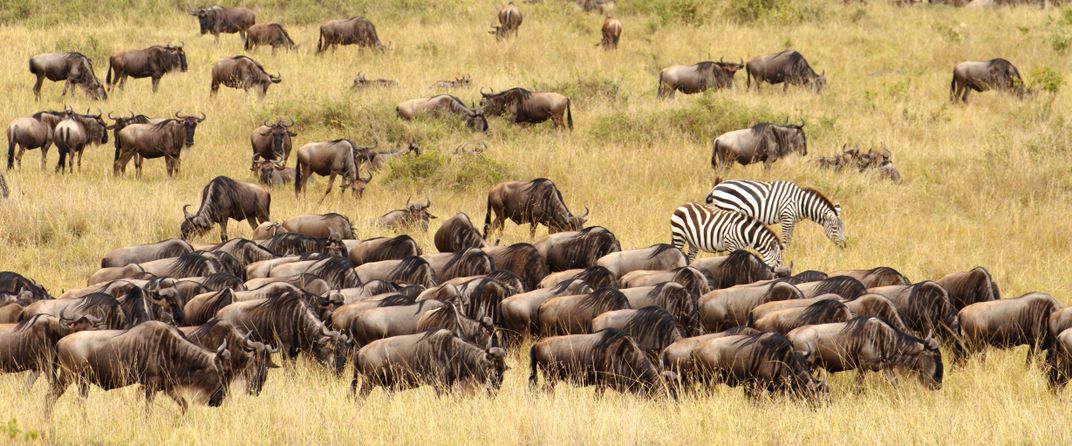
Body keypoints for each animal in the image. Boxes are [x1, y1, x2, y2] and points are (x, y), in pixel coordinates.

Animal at [704, 179, 845, 248]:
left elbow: (789, 238)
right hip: (727, 207)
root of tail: (716, 188)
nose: (844, 246)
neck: (800, 203)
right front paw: (784, 251)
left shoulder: (791, 220)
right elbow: (785, 238)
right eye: (834, 228)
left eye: (843, 228)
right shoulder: (786, 216)